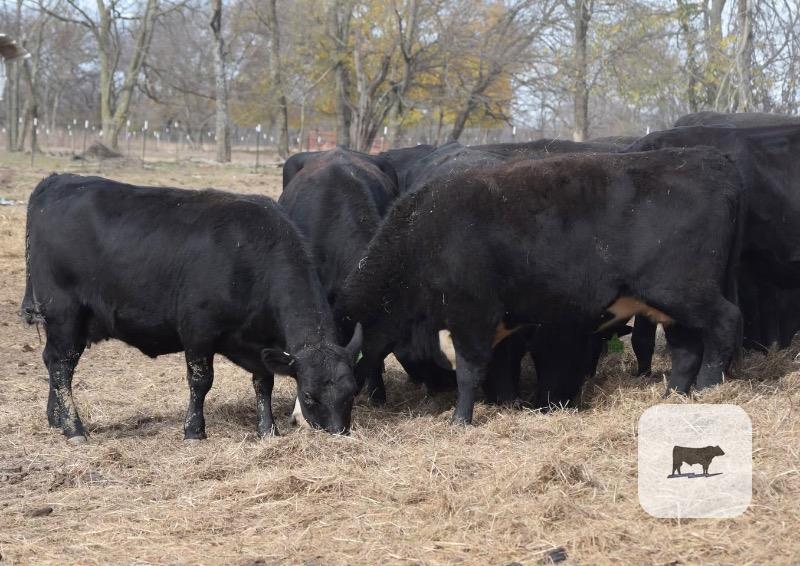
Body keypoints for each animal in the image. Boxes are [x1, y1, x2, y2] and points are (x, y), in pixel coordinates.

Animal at [22, 174, 362, 443]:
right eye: (308, 396)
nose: (337, 433)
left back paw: (55, 418)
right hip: (64, 313)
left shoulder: (260, 345)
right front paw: (194, 431)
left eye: (352, 391)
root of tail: (58, 180)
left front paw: (268, 430)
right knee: (62, 366)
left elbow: (263, 382)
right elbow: (201, 381)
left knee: (54, 361)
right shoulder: (198, 330)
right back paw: (74, 429)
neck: (249, 256)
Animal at [343, 147, 743, 424]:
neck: (422, 236)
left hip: (685, 292)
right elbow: (497, 368)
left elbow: (470, 371)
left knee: (726, 323)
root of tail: (708, 159)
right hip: (670, 305)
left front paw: (460, 419)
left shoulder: (472, 315)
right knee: (686, 351)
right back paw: (672, 396)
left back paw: (708, 389)